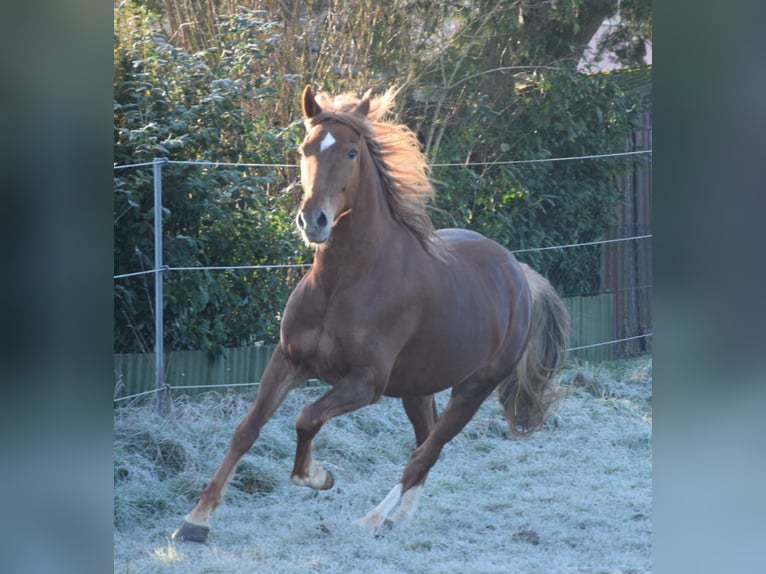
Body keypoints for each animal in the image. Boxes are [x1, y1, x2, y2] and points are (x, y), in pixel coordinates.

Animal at [174, 85, 568, 544]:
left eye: (350, 153)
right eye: (305, 148)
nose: (313, 221)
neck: (342, 283)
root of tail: (519, 273)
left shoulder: (365, 383)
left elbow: (306, 419)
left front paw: (318, 477)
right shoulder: (288, 360)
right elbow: (246, 430)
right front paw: (195, 520)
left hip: (474, 388)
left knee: (426, 452)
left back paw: (373, 519)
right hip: (418, 388)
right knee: (426, 443)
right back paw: (398, 517)